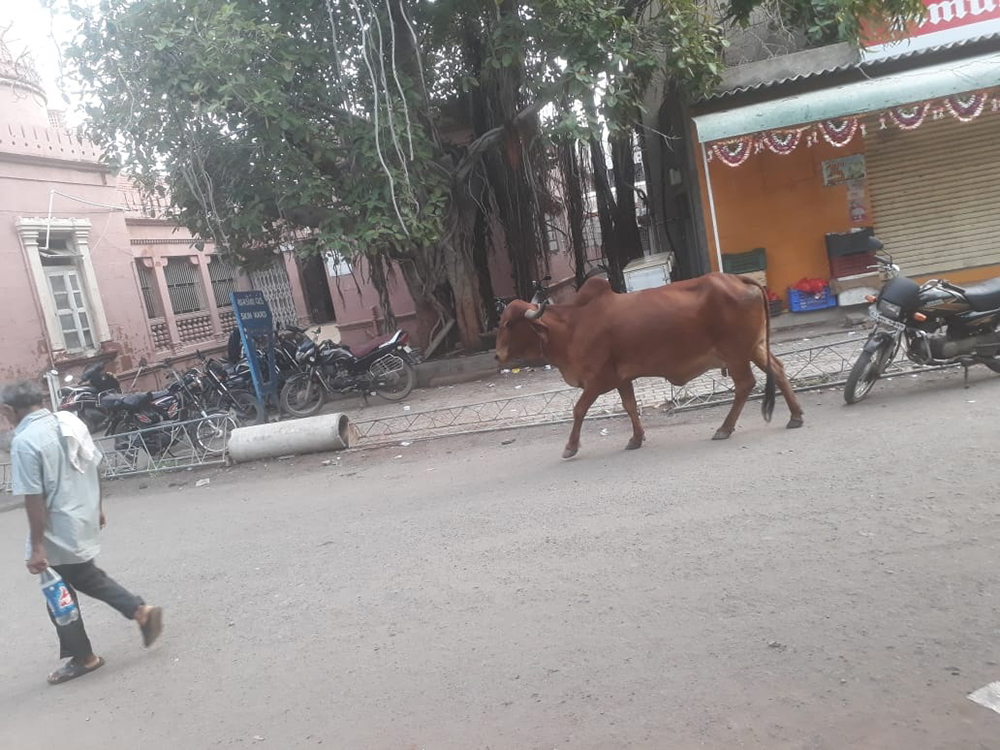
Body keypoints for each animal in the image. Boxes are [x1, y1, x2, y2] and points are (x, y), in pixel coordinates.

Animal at [496, 274, 808, 456]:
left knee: (745, 384)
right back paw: (795, 416)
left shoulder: (597, 380)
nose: (497, 356)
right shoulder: (622, 378)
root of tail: (740, 280)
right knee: (778, 370)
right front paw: (636, 438)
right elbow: (630, 407)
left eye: (510, 323)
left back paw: (724, 428)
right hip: (754, 348)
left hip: (736, 354)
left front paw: (570, 447)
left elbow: (579, 410)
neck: (572, 326)